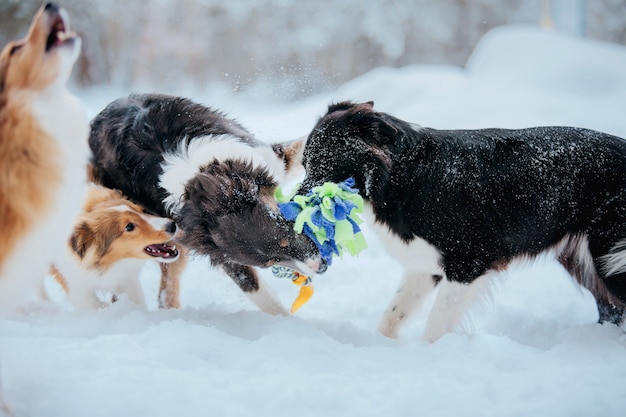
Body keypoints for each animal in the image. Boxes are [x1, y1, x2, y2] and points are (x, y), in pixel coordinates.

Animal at [88, 93, 322, 316]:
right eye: (272, 261)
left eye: (286, 233)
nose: (319, 267)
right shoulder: (220, 252)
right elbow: (255, 288)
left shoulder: (265, 157)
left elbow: (303, 146)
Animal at [294, 101, 624, 342]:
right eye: (304, 164)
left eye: (323, 165)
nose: (292, 208)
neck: (404, 176)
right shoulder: (425, 265)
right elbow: (394, 313)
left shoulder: (467, 265)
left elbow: (436, 325)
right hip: (584, 260)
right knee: (611, 311)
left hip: (608, 258)